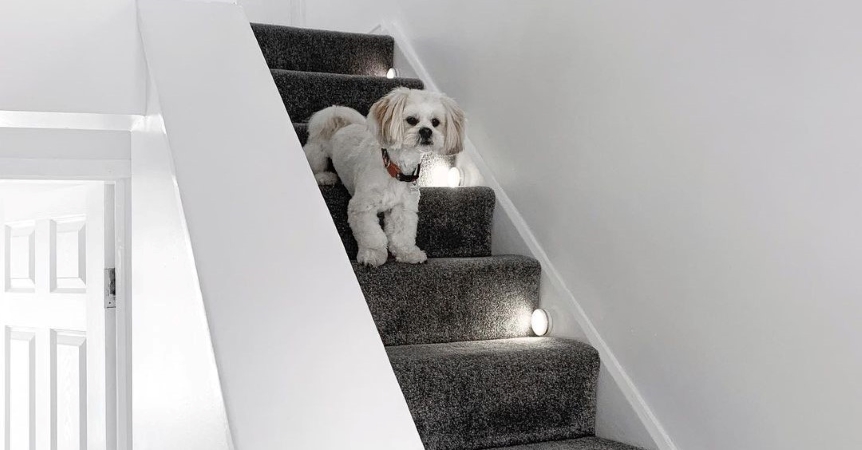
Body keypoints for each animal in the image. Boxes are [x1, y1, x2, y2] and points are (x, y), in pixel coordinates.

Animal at [304, 86, 466, 266]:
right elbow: (372, 235)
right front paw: (372, 254)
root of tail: (339, 120)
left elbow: (402, 234)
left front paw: (407, 253)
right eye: (411, 120)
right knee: (316, 164)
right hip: (317, 153)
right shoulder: (361, 207)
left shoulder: (402, 208)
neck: (395, 169)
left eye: (435, 122)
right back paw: (325, 177)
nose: (426, 131)